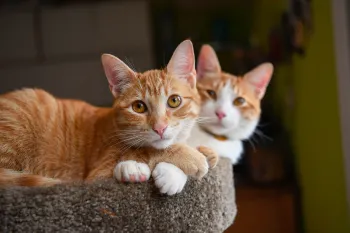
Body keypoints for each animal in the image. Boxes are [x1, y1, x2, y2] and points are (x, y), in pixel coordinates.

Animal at [0, 41, 217, 196]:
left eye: (174, 101)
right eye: (138, 107)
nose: (160, 128)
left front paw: (201, 155)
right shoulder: (97, 174)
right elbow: (147, 150)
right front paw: (191, 156)